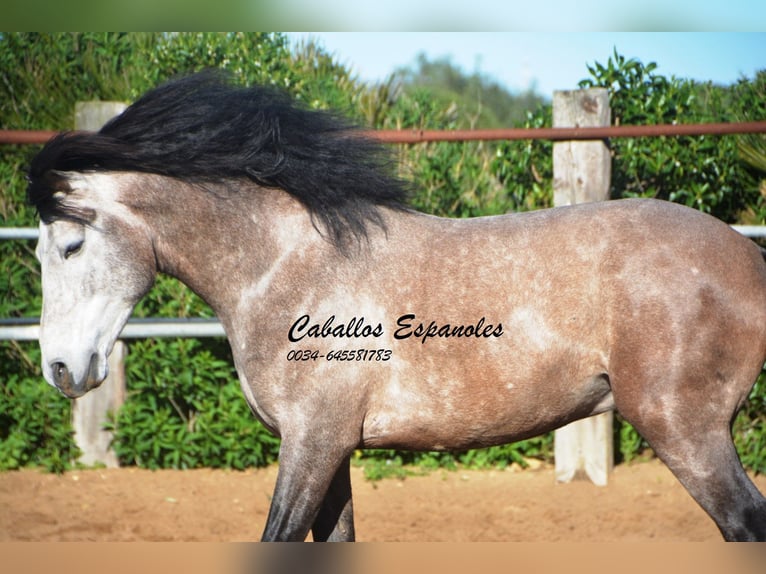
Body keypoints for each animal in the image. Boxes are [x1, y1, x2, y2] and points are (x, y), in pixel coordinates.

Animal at [27, 72, 764, 544]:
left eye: (69, 244)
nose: (61, 369)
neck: (286, 269)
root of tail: (747, 257)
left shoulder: (311, 443)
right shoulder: (330, 448)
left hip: (685, 430)